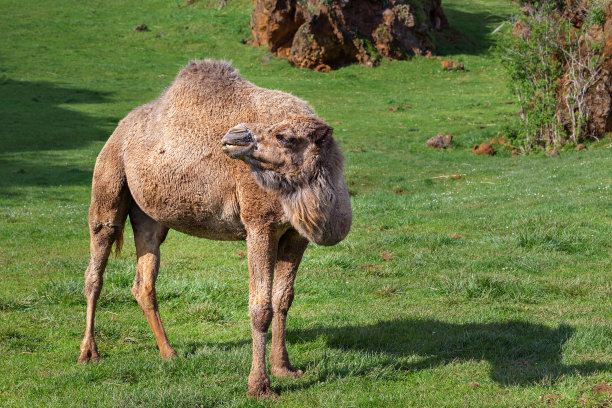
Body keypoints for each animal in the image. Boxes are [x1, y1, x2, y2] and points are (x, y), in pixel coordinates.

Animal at [77, 60, 354, 398]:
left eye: (284, 137)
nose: (235, 135)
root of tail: (120, 129)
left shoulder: (295, 234)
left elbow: (283, 299)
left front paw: (285, 368)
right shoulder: (259, 224)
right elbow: (260, 307)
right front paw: (259, 385)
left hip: (150, 215)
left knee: (144, 279)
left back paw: (169, 353)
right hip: (109, 179)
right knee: (96, 263)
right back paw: (88, 352)